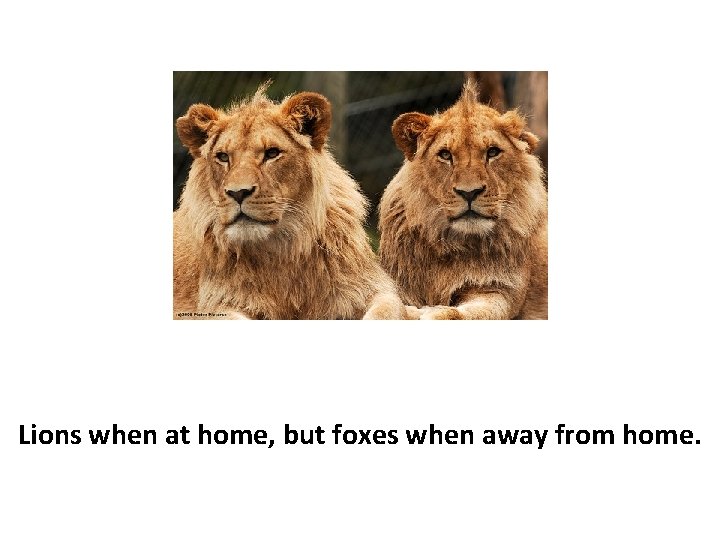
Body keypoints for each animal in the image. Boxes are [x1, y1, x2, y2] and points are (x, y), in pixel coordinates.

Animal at [174, 85, 404, 319]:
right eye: (222, 157)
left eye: (272, 153)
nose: (238, 193)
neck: (282, 250)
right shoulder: (219, 303)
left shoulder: (369, 288)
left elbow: (389, 309)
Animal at [378, 83, 547, 320]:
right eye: (445, 155)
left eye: (492, 152)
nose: (469, 192)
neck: (453, 243)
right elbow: (385, 304)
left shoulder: (499, 290)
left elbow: (462, 313)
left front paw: (431, 312)